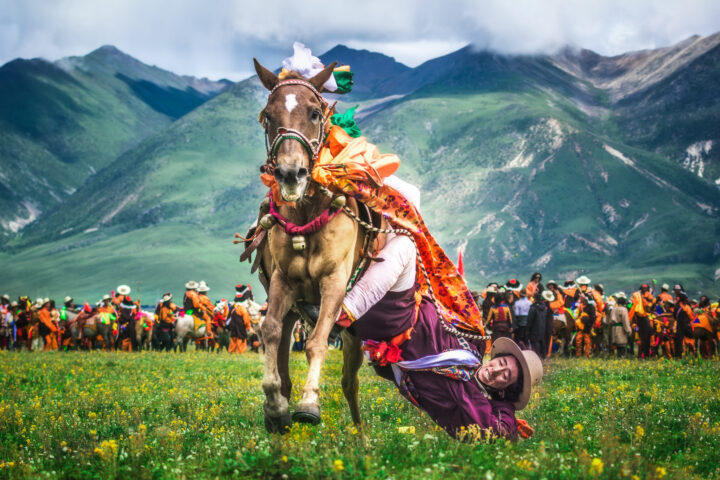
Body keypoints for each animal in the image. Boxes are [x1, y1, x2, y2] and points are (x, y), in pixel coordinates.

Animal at [249, 60, 372, 436]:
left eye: (315, 113)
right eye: (267, 116)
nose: (291, 174)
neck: (306, 214)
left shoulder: (333, 283)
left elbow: (317, 342)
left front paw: (309, 404)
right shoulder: (282, 282)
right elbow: (270, 331)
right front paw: (275, 406)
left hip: (352, 329)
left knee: (349, 382)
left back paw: (361, 438)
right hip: (295, 309)